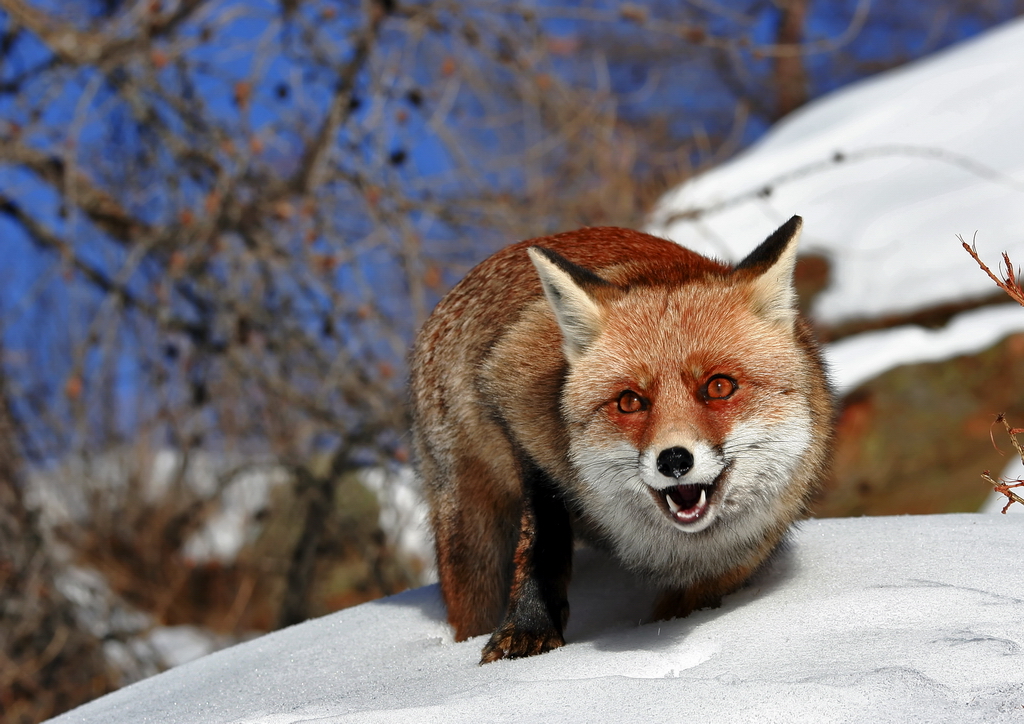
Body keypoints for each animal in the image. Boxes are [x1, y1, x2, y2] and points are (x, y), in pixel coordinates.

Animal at [407, 217, 831, 663]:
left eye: (719, 387)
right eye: (629, 401)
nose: (674, 460)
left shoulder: (741, 552)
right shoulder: (511, 399)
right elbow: (542, 538)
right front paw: (528, 631)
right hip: (470, 539)